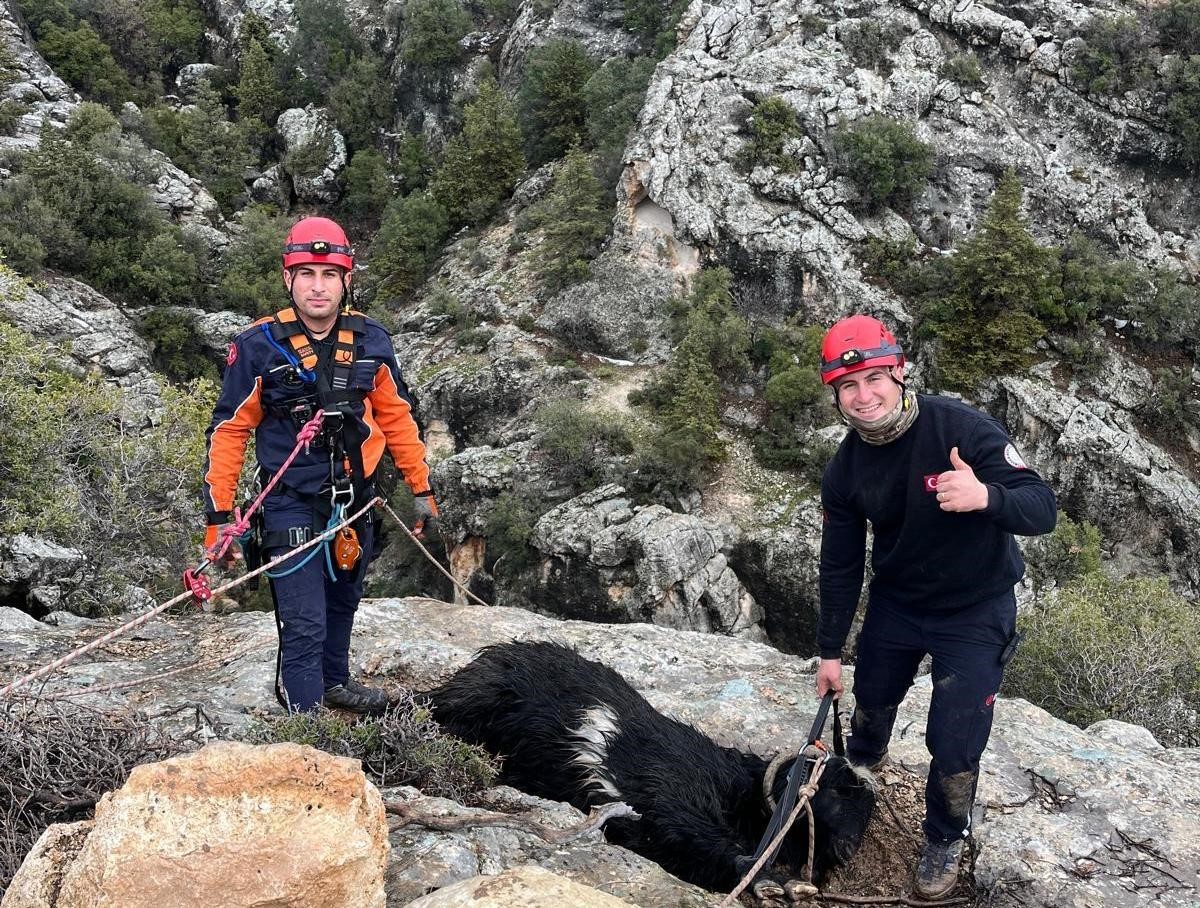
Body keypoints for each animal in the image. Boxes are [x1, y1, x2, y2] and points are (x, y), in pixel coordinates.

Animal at [427, 642, 878, 887]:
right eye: (834, 792)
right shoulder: (666, 793)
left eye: (868, 808)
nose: (847, 851)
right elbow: (690, 831)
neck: (738, 793)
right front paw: (766, 879)